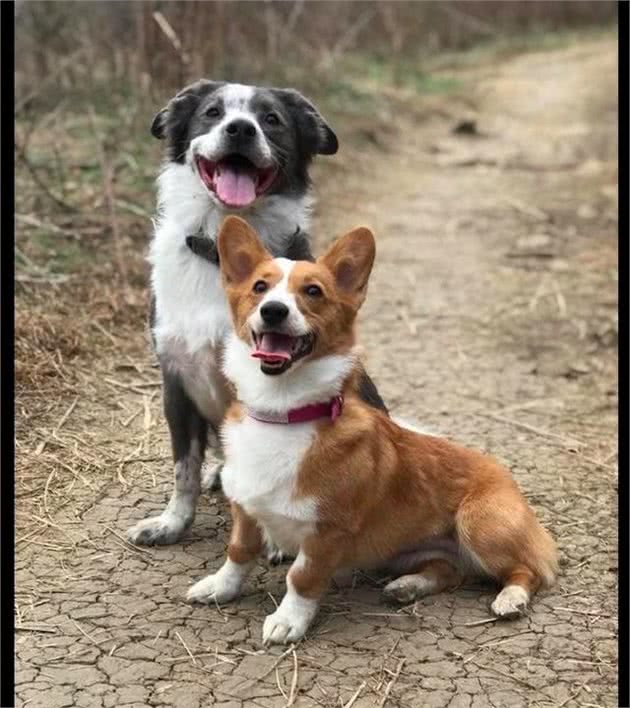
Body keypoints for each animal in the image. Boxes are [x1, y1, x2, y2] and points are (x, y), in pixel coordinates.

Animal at [126, 81, 388, 548]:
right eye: (213, 112)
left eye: (271, 119)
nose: (241, 129)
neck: (219, 248)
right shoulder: (175, 379)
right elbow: (183, 469)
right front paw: (172, 523)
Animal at [186, 217, 556, 648]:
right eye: (259, 287)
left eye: (313, 291)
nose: (273, 311)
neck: (284, 412)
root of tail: (505, 476)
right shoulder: (245, 508)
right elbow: (239, 552)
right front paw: (220, 587)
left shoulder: (326, 534)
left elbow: (302, 577)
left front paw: (288, 620)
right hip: (403, 552)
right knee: (449, 570)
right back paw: (408, 586)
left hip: (479, 522)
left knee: (529, 570)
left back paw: (510, 597)